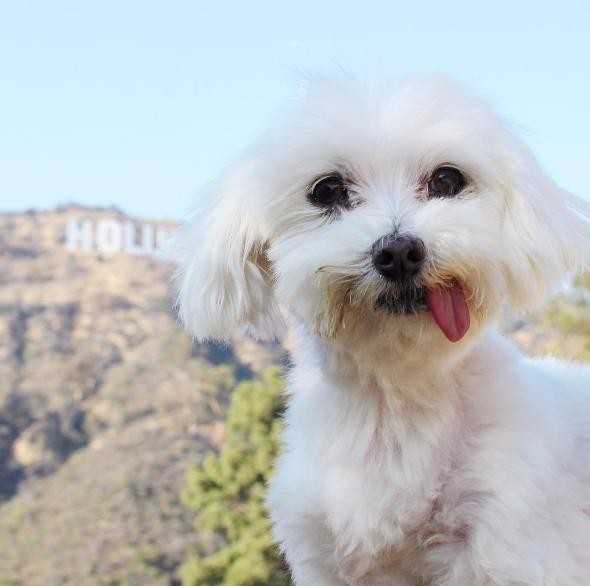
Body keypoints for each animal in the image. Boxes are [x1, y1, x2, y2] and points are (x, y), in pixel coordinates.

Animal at [173, 75, 590, 580]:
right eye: (327, 189)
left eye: (447, 179)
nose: (399, 251)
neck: (396, 403)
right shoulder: (323, 554)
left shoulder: (507, 542)